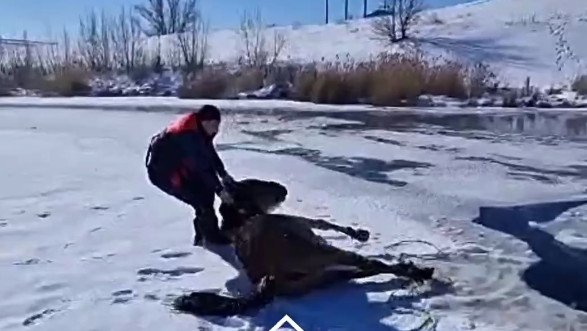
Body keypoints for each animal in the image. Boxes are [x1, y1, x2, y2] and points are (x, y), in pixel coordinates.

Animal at [172, 179, 434, 316]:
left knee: (364, 271)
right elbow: (324, 223)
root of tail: (269, 278)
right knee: (371, 264)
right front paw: (359, 233)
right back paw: (418, 271)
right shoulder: (306, 226)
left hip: (322, 276)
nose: (283, 189)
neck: (244, 216)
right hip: (322, 254)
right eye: (256, 184)